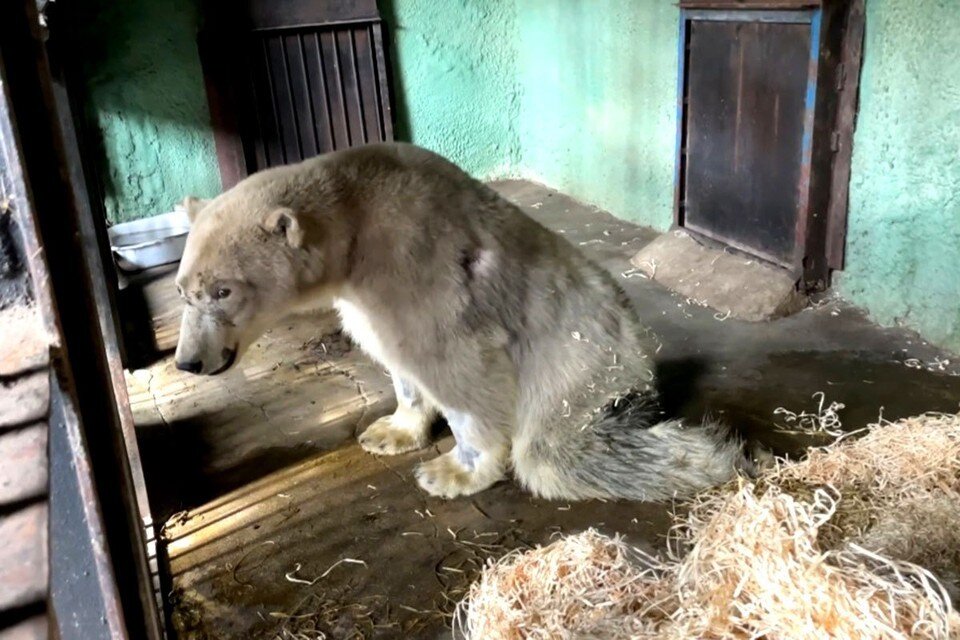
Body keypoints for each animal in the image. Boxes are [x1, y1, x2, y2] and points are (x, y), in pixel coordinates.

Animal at [172, 144, 748, 500]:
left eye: (223, 291)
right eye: (182, 291)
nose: (189, 362)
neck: (356, 221)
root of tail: (639, 364)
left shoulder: (417, 265)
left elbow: (456, 367)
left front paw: (450, 472)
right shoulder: (365, 296)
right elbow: (396, 358)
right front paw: (389, 431)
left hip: (579, 364)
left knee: (555, 451)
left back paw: (708, 456)